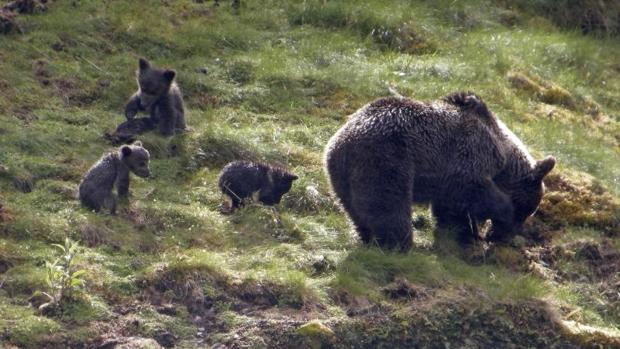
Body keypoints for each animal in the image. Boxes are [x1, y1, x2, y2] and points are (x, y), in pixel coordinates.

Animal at [324, 92, 556, 250]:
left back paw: (367, 236)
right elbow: (472, 189)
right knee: (389, 204)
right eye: (525, 209)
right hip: (386, 160)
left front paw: (460, 233)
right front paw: (496, 215)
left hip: (341, 176)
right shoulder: (469, 153)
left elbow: (450, 208)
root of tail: (342, 142)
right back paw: (398, 243)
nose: (502, 235)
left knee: (356, 209)